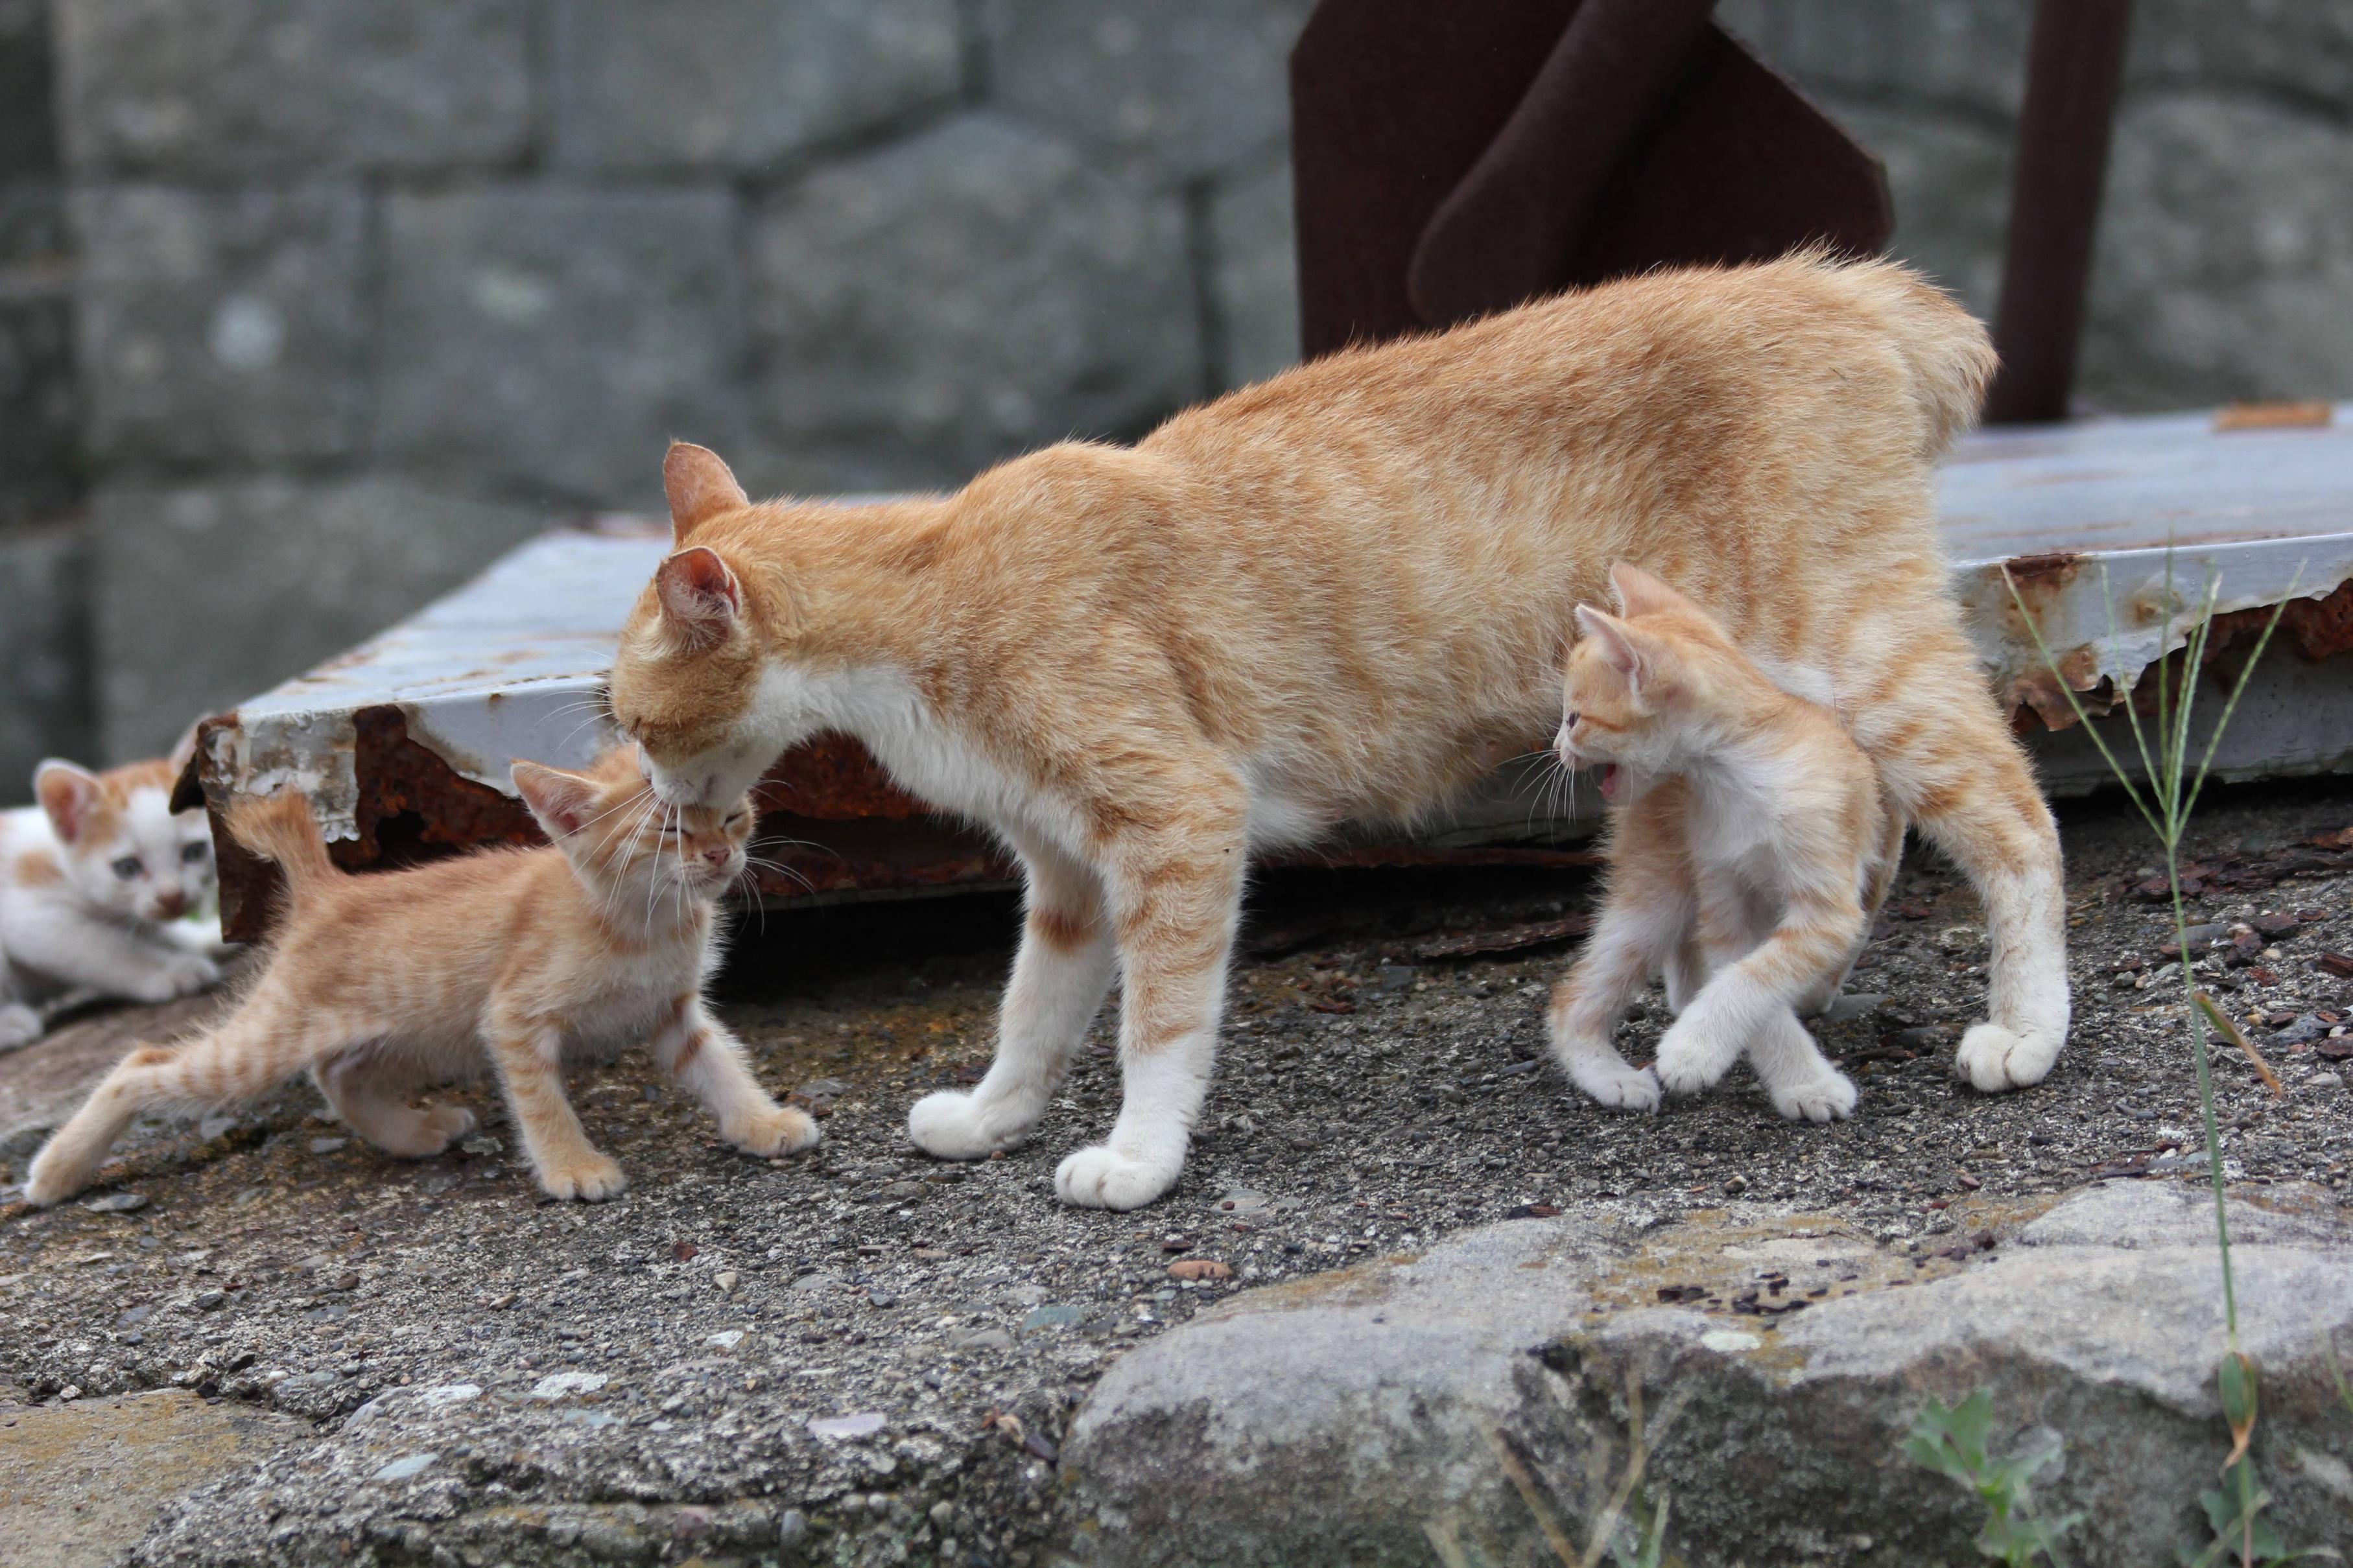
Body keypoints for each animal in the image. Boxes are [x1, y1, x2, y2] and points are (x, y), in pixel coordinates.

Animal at [0, 747, 222, 1053]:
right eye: (127, 868)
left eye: (194, 852)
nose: (172, 896)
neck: (60, 862)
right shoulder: (29, 916)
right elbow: (110, 949)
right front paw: (175, 970)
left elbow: (162, 933)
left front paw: (206, 939)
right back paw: (11, 1023)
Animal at [1543, 571, 1910, 1123]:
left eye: (1574, 719)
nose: (1557, 750)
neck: (1741, 773)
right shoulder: (1724, 896)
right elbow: (1750, 982)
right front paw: (1797, 1079)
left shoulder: (1826, 908)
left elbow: (1753, 978)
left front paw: (1693, 1048)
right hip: (1660, 890)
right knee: (1571, 997)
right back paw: (1608, 1075)